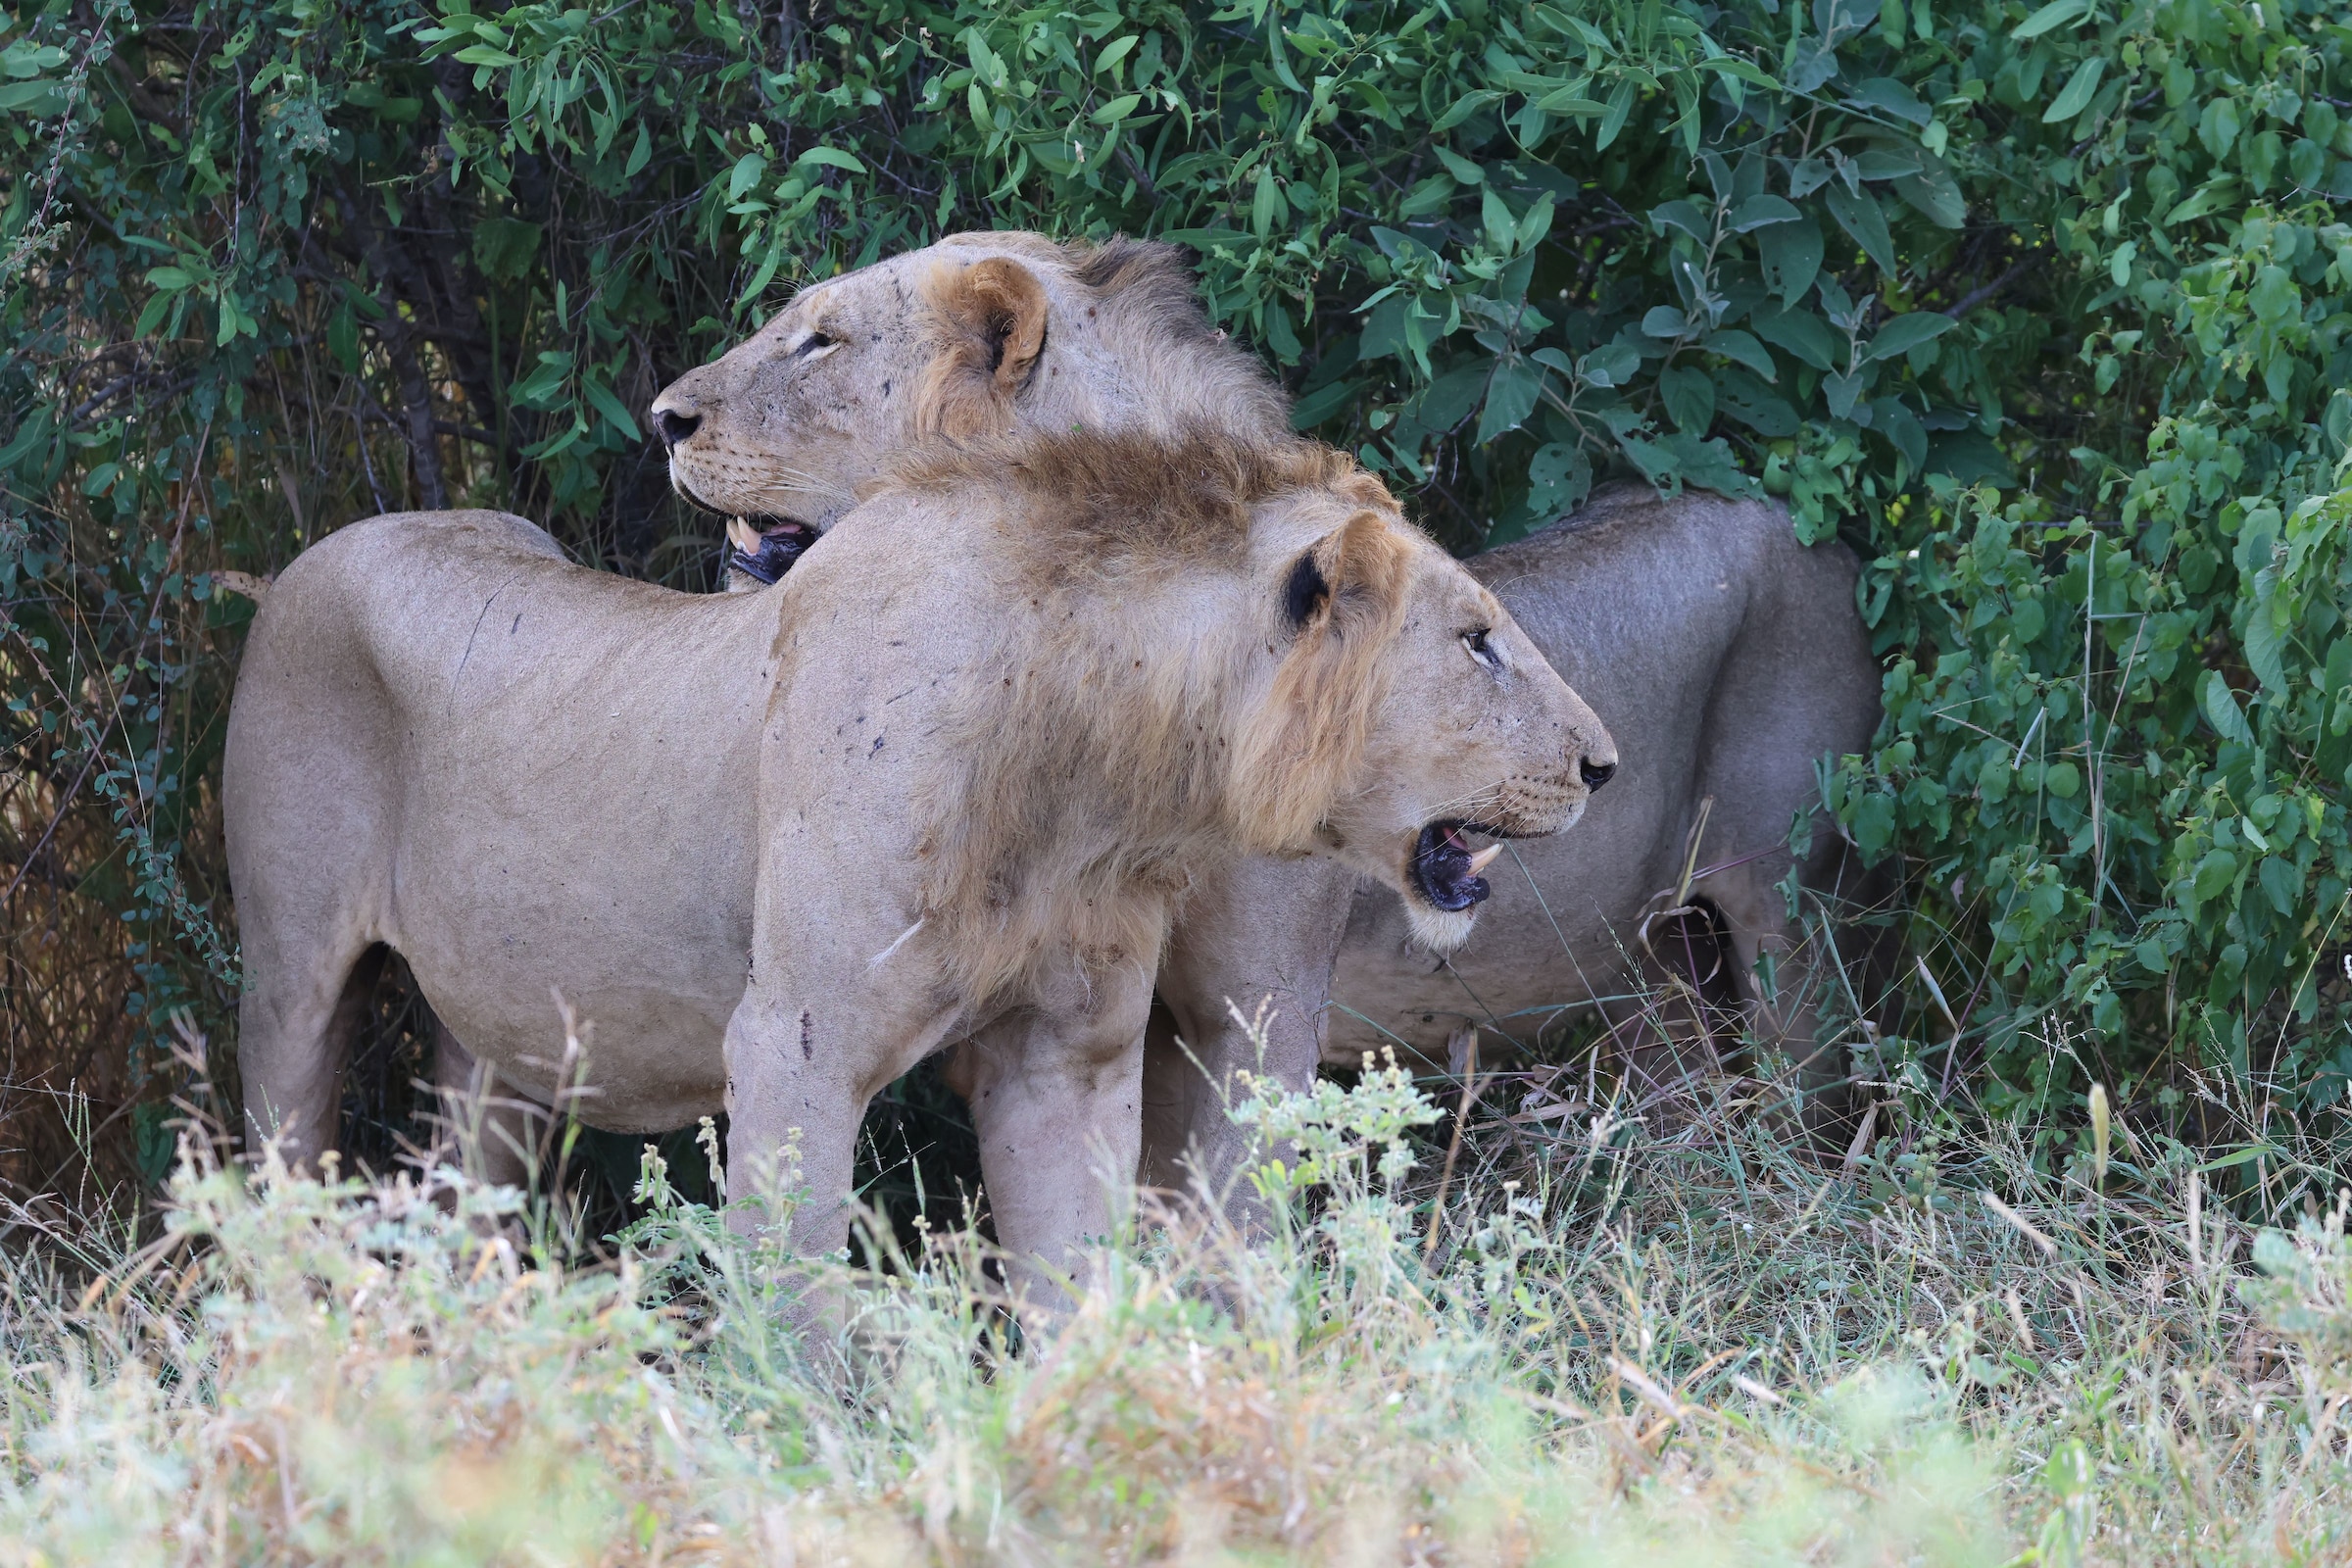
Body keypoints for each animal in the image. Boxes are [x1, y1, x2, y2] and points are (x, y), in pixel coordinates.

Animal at [224, 422, 1618, 1298]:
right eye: (1478, 640)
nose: (1604, 763)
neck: (1097, 779)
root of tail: (313, 556)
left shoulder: (1066, 1055)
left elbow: (1078, 1289)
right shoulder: (792, 1045)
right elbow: (795, 1315)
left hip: (491, 1049)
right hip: (290, 977)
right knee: (278, 1171)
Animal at [649, 232, 1890, 1194]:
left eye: (820, 340)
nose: (663, 416)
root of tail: (1816, 529)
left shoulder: (1263, 1010)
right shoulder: (1139, 1014)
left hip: (1789, 904)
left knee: (1807, 1074)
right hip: (1646, 955)